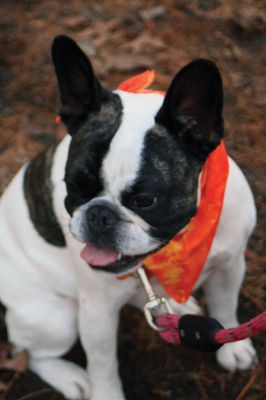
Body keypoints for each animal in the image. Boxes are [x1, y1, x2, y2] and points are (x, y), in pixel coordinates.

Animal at [0, 36, 258, 398]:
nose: (99, 215)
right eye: (73, 186)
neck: (177, 243)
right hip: (56, 318)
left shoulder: (230, 264)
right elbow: (104, 364)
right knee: (31, 353)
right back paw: (71, 378)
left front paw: (232, 347)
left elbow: (227, 308)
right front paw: (105, 393)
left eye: (145, 200)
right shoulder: (96, 311)